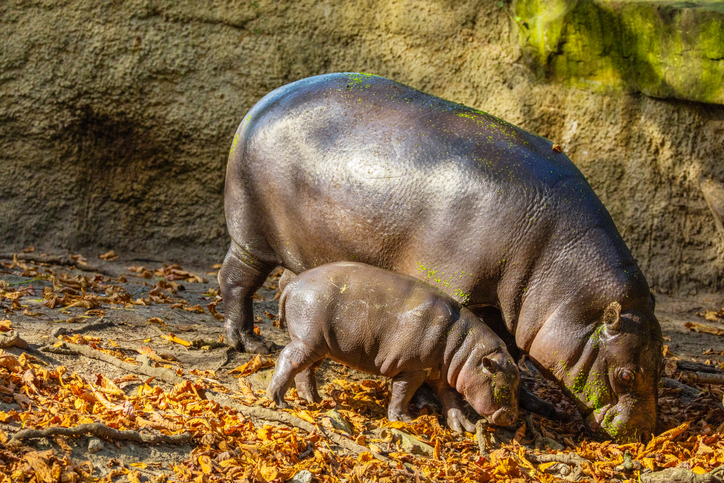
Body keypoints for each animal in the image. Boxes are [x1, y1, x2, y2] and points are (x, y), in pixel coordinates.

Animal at [266, 262, 520, 431]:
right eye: (505, 389)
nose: (513, 419)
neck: (468, 352)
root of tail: (292, 284)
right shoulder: (413, 367)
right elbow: (403, 392)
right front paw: (404, 420)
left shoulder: (442, 374)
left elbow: (452, 400)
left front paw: (464, 428)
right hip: (308, 339)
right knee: (289, 359)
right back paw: (278, 400)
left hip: (320, 344)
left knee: (306, 369)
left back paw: (314, 400)